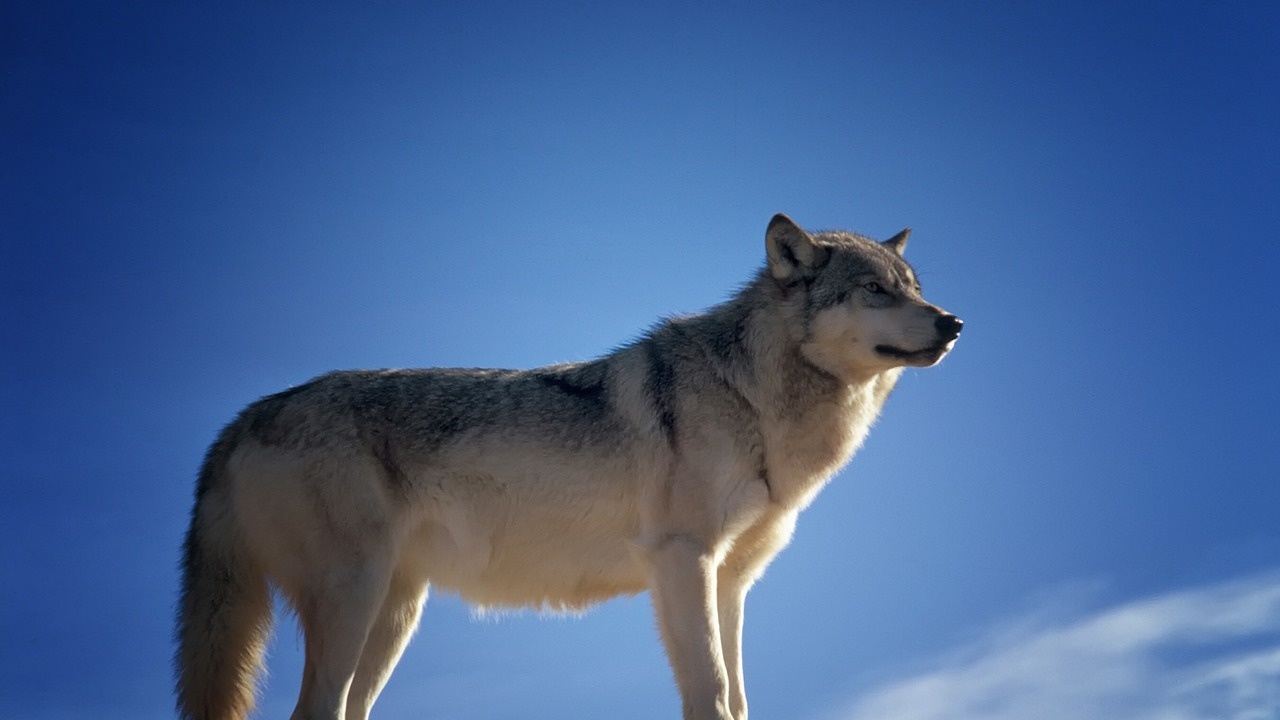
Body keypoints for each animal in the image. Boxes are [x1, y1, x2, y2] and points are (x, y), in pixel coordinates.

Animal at [177, 213, 962, 717]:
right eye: (876, 290)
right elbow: (710, 694)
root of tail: (239, 420)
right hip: (355, 598)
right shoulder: (682, 561)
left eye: (914, 286)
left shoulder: (731, 581)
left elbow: (739, 699)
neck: (748, 393)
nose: (953, 323)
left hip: (395, 615)